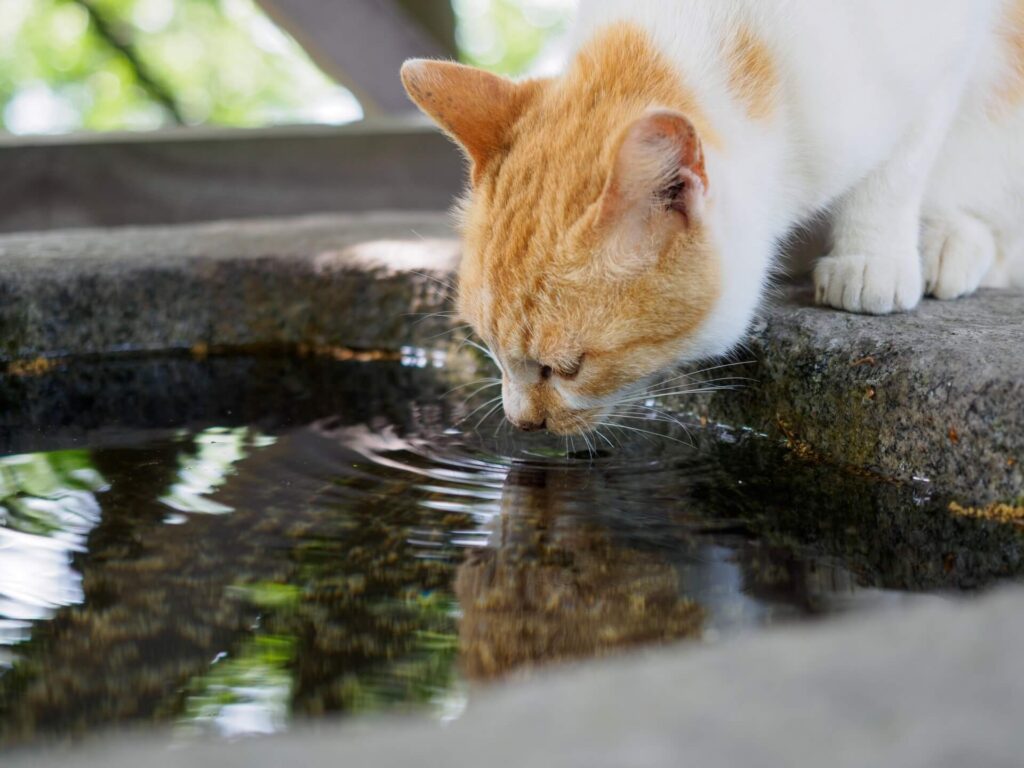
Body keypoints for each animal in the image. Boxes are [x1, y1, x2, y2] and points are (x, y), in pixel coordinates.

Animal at [399, 0, 1024, 436]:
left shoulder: (946, 49)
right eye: (487, 346)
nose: (521, 424)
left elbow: (899, 166)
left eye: (568, 367)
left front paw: (872, 256)